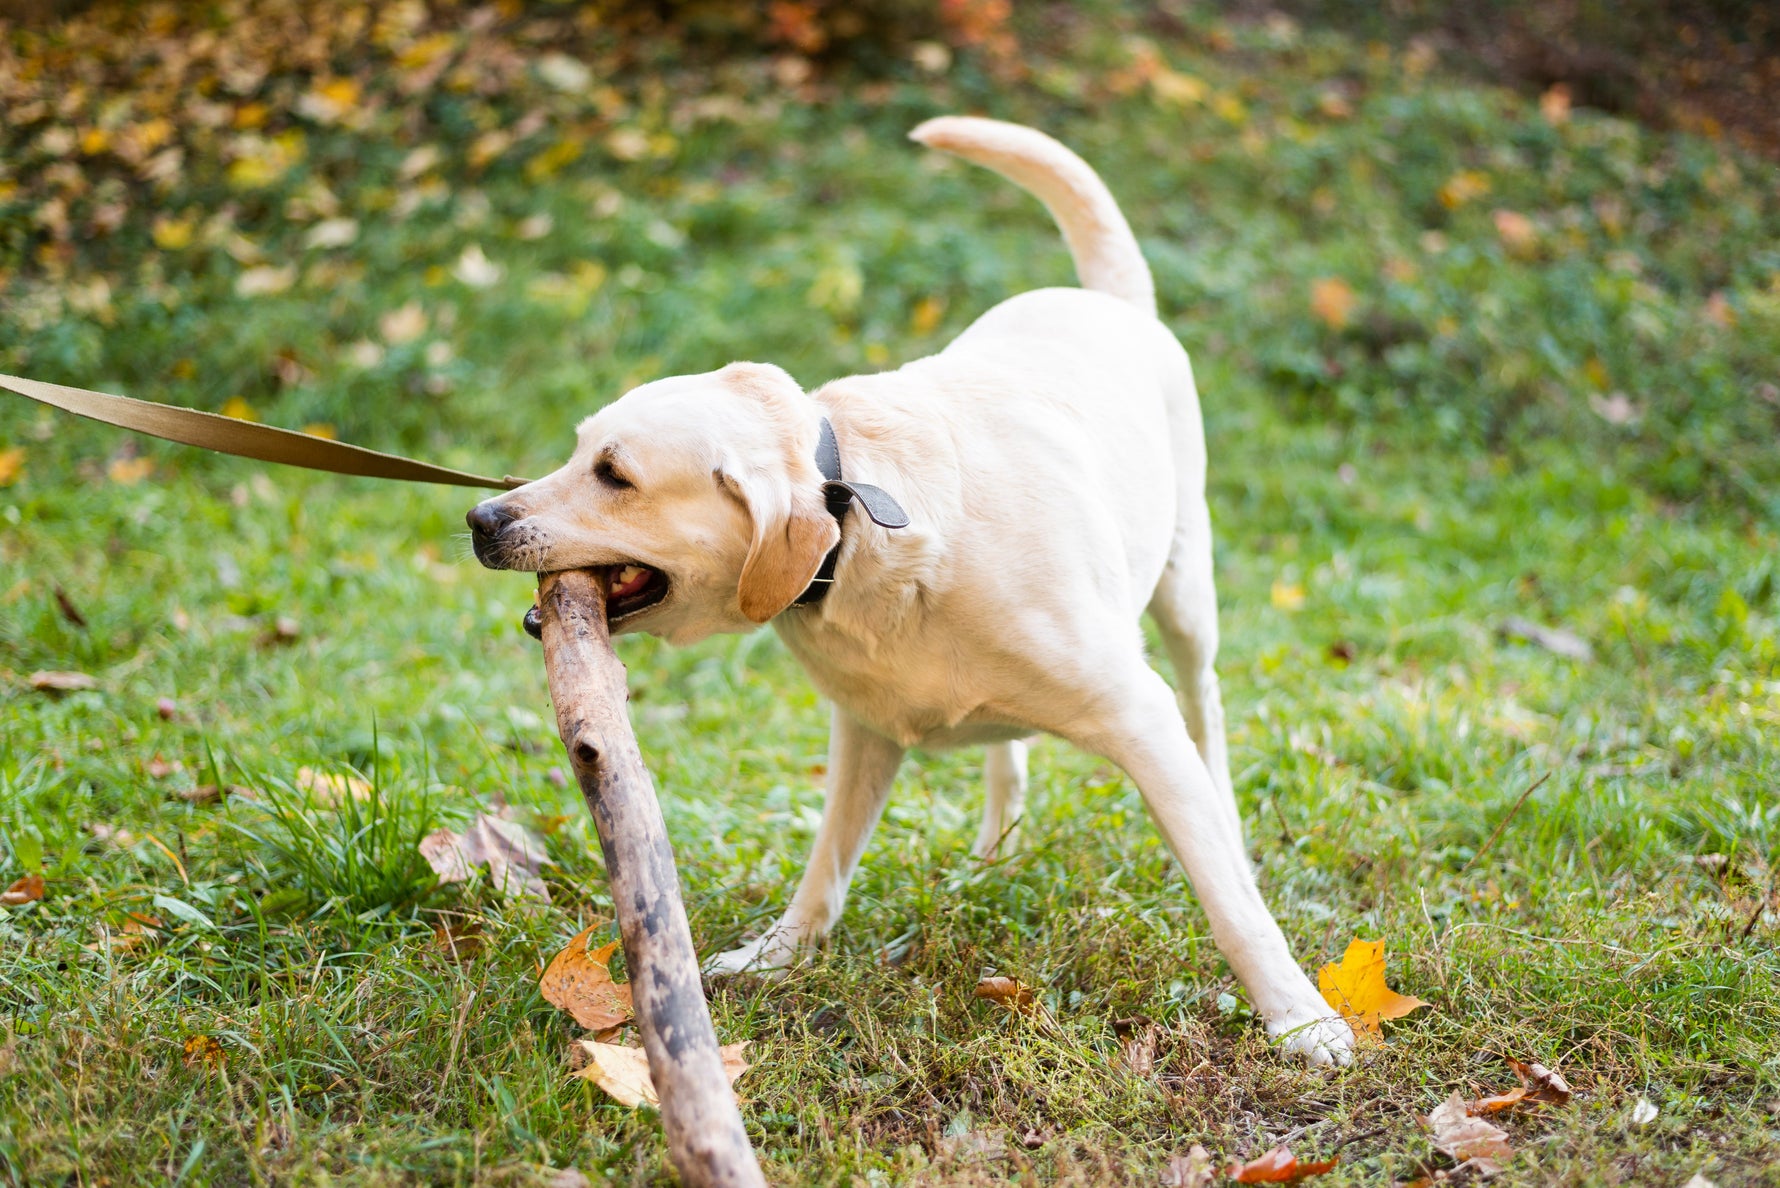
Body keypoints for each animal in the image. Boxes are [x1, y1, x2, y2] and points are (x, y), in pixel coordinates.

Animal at [466, 115, 1352, 1061]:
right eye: (577, 451)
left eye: (615, 475)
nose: (481, 517)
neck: (861, 522)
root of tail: (1108, 300)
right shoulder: (864, 728)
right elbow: (827, 864)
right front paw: (779, 955)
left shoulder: (1137, 715)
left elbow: (1232, 909)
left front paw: (1301, 1018)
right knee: (1012, 758)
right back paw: (995, 851)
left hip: (1187, 594)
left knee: (1205, 711)